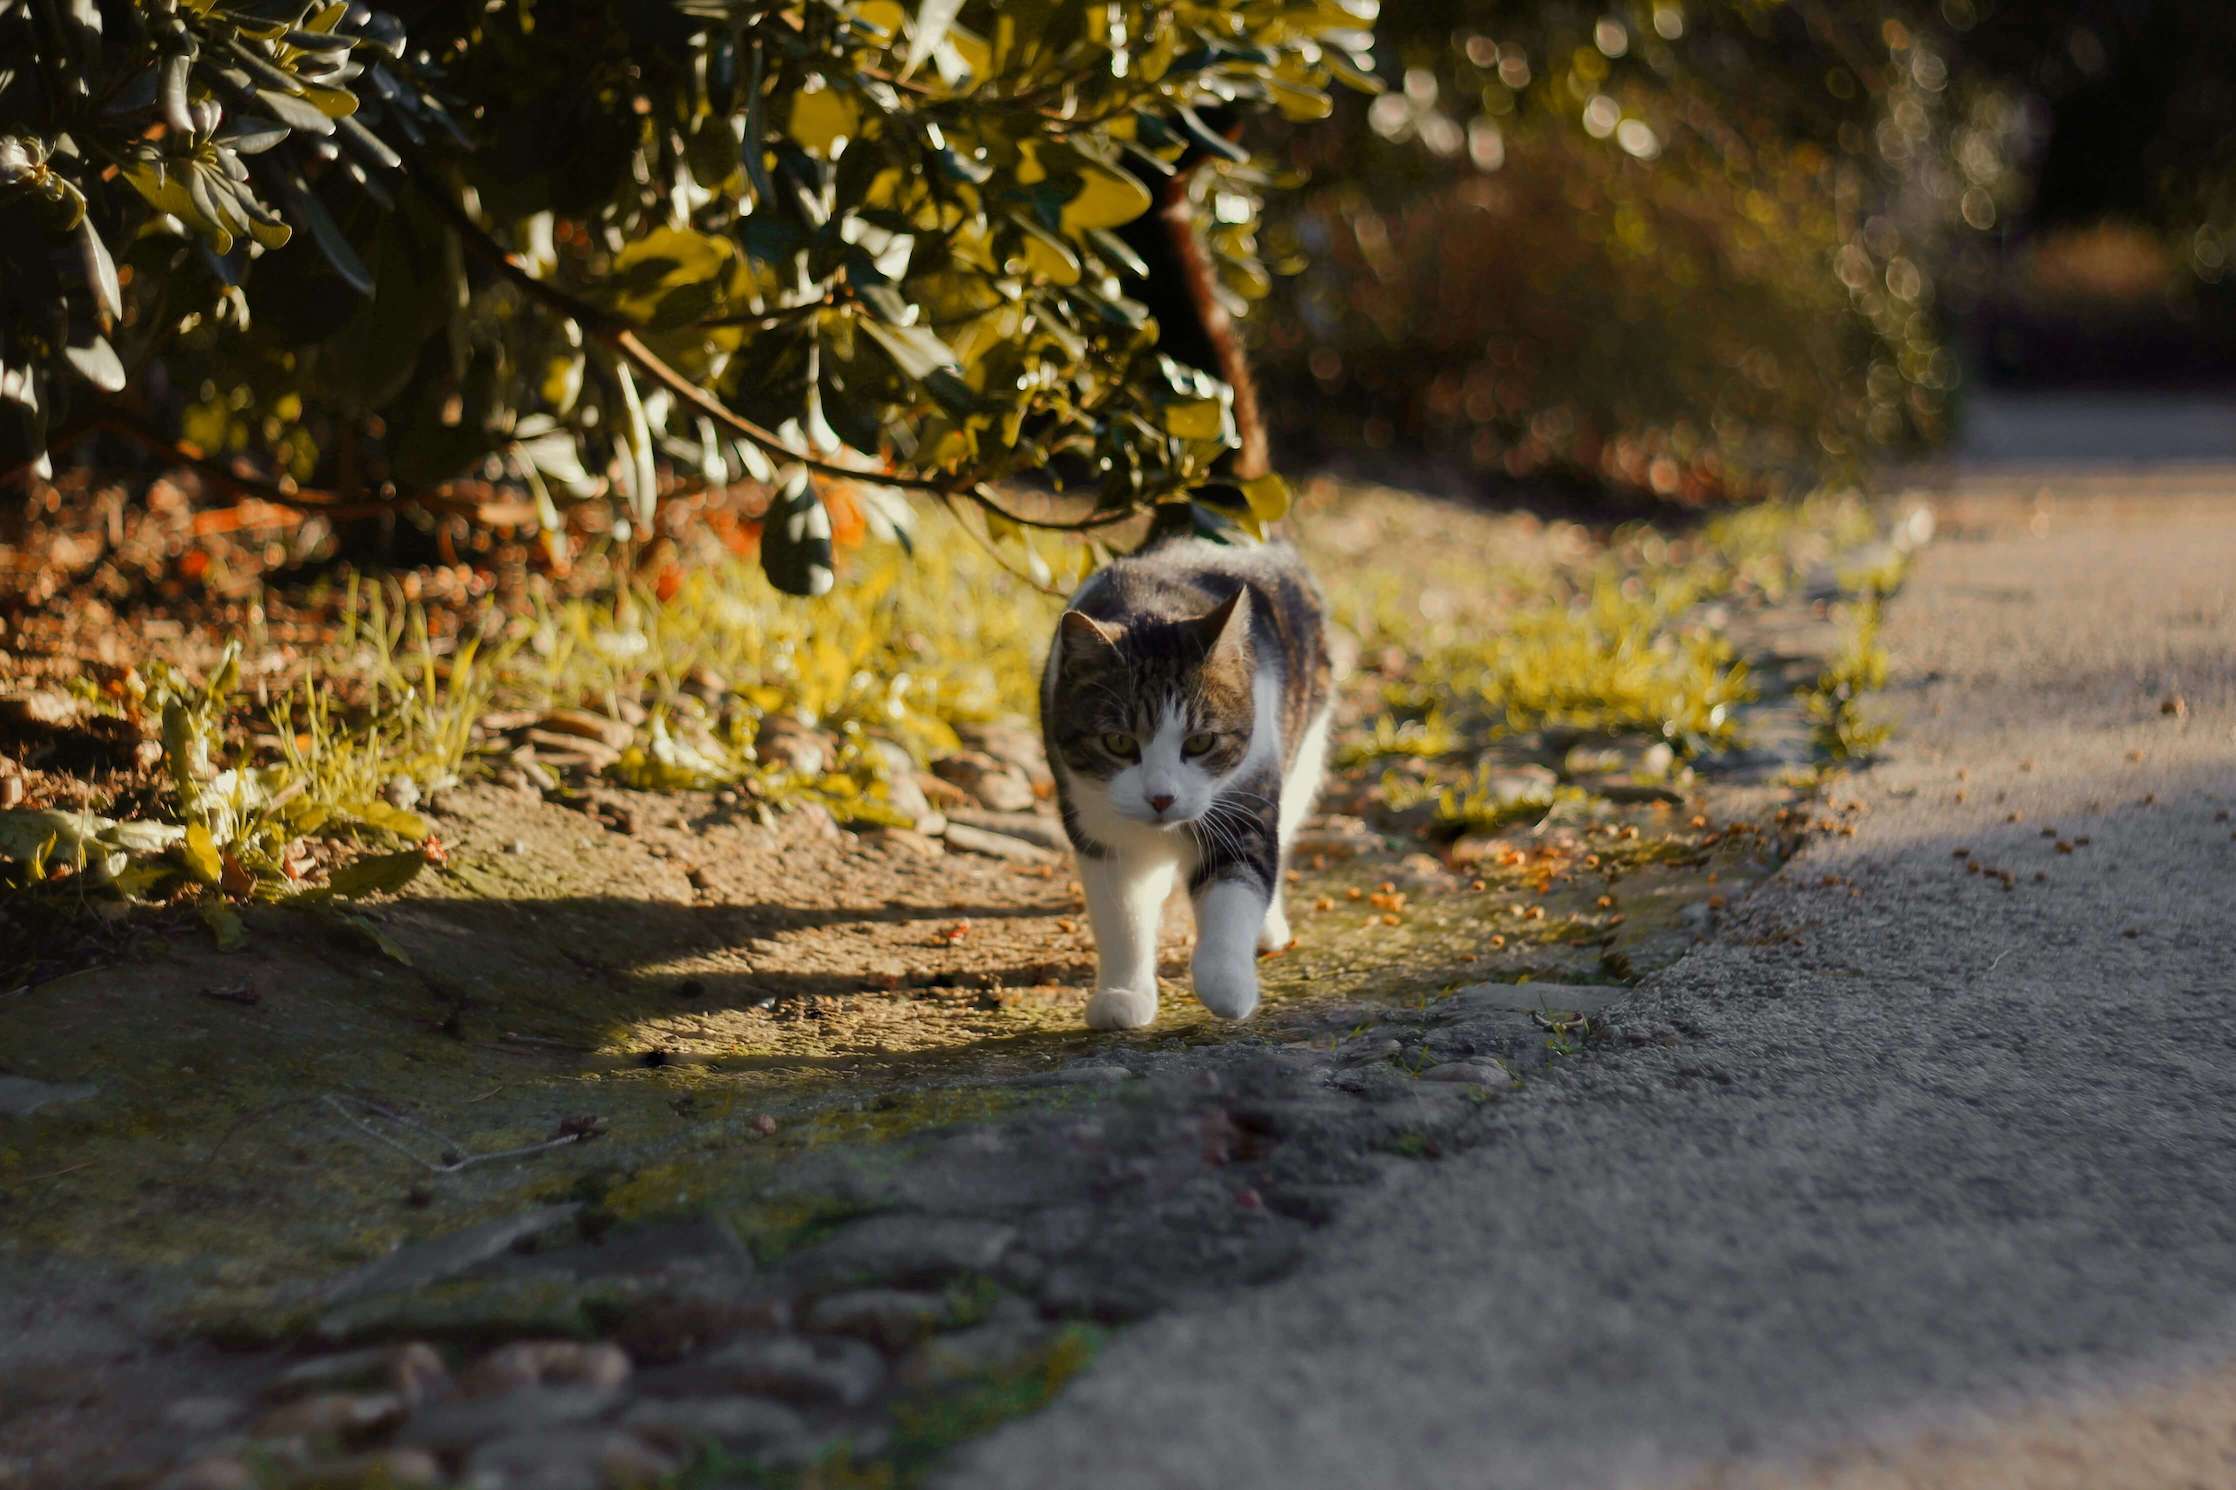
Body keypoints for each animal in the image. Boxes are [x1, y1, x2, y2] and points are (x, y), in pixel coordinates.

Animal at [1041, 539, 1332, 1029]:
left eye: (1200, 741)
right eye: (1118, 741)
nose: (1162, 798)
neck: (1152, 607)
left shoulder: (1245, 800)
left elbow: (1234, 893)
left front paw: (1227, 984)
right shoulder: (1101, 828)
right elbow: (1123, 916)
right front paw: (1124, 993)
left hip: (1305, 744)